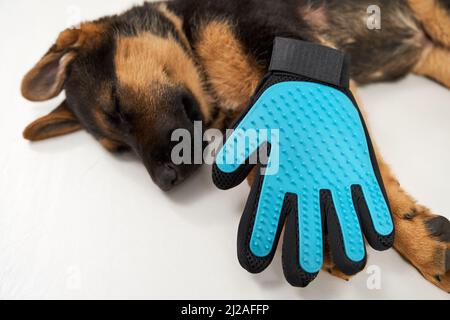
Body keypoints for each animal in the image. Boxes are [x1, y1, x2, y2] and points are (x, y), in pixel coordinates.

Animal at [20, 0, 450, 292]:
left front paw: (418, 243)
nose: (165, 181)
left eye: (117, 104)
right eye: (118, 150)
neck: (189, 31)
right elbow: (260, 165)